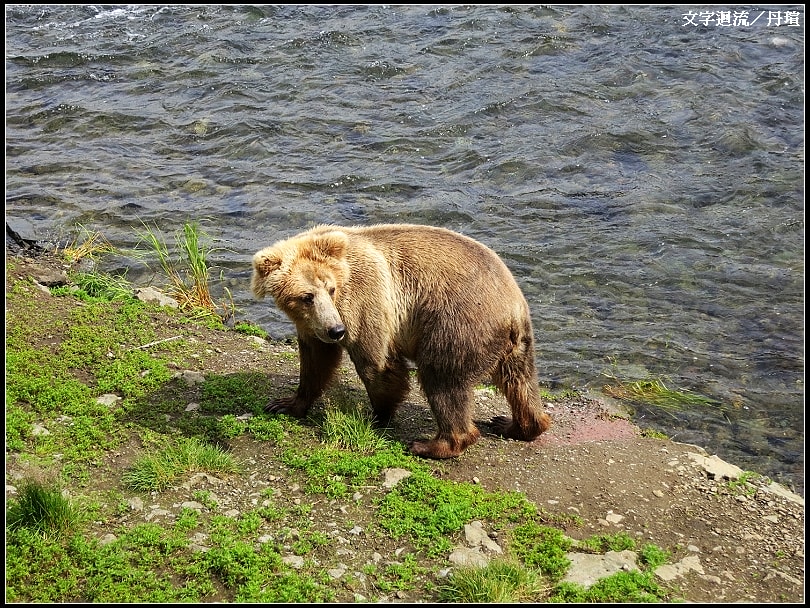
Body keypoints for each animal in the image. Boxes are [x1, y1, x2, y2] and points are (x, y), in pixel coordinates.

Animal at [250, 223, 551, 459]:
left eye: (331, 289)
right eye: (306, 296)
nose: (336, 330)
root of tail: (513, 306)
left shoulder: (364, 301)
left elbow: (376, 363)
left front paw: (378, 413)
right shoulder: (313, 326)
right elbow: (315, 361)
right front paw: (286, 403)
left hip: (457, 325)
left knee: (442, 380)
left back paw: (433, 444)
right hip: (517, 344)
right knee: (520, 382)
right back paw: (514, 424)